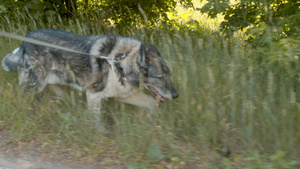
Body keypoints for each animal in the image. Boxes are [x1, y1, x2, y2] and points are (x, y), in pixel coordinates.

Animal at [1, 28, 178, 121]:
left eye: (169, 75)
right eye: (160, 77)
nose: (176, 96)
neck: (119, 61)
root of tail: (25, 39)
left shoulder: (124, 95)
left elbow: (151, 102)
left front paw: (153, 121)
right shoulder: (93, 95)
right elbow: (96, 122)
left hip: (50, 80)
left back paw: (68, 102)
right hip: (36, 83)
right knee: (23, 97)